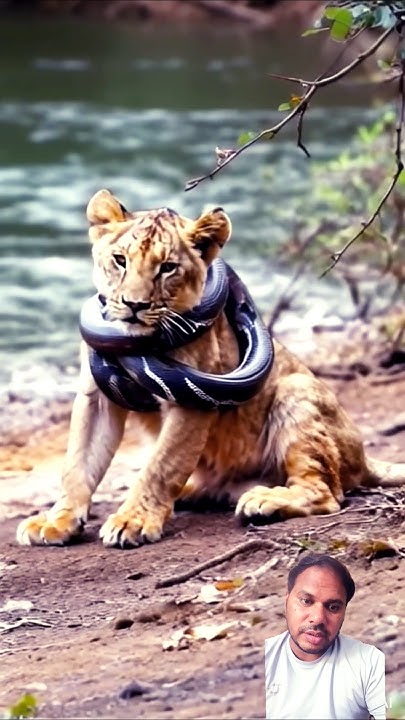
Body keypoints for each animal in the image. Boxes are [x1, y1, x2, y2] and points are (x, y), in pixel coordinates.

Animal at [17, 189, 405, 548]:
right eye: (120, 260)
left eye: (167, 267)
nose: (133, 305)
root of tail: (364, 455)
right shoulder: (95, 395)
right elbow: (77, 464)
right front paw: (57, 521)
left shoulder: (190, 405)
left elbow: (161, 465)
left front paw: (133, 521)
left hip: (297, 391)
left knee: (327, 493)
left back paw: (264, 500)